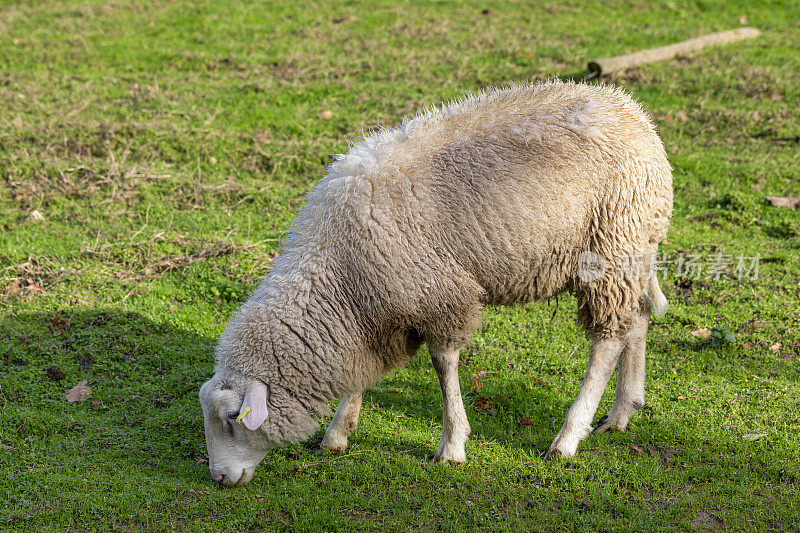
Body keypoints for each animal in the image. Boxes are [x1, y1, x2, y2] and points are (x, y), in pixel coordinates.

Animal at [198, 80, 668, 486]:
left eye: (230, 419)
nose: (219, 478)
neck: (337, 273)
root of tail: (631, 110)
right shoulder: (376, 313)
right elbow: (362, 370)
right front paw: (338, 432)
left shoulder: (439, 294)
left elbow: (444, 367)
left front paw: (453, 445)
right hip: (633, 248)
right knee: (638, 316)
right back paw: (623, 410)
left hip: (610, 246)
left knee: (606, 342)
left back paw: (569, 436)